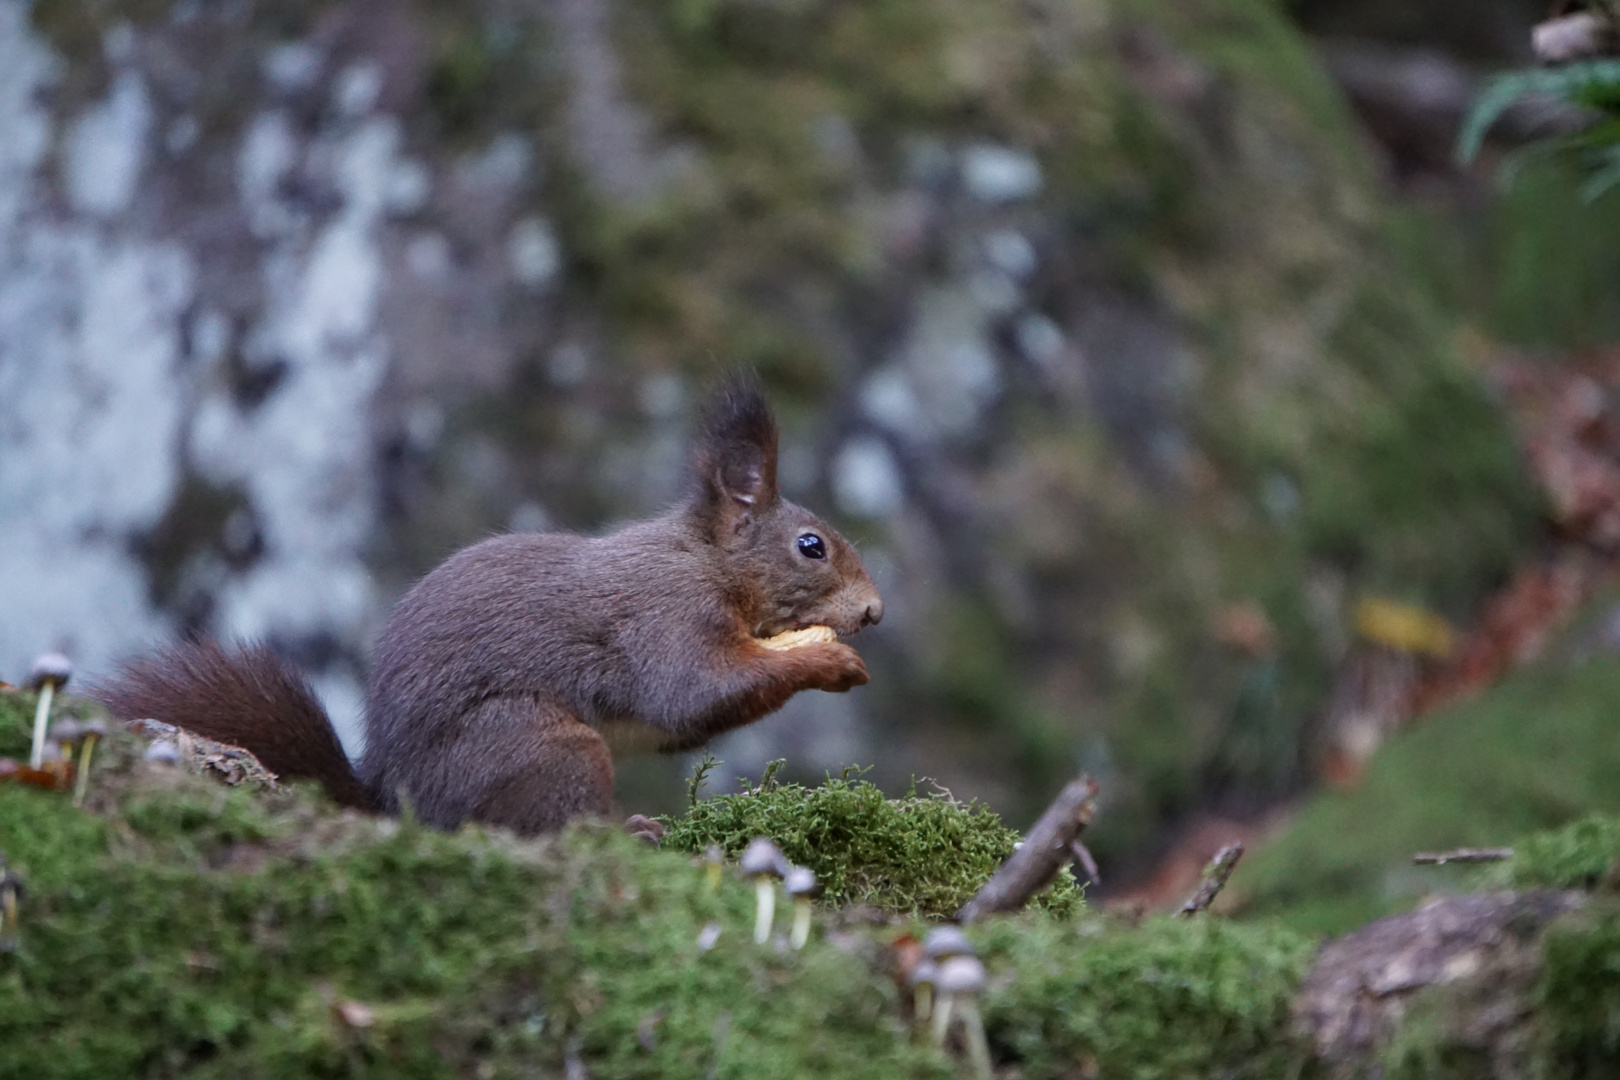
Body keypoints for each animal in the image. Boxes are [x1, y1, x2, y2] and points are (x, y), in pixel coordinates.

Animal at [94, 378, 881, 835]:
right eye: (812, 546)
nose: (874, 613)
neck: (708, 560)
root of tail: (397, 802)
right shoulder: (663, 615)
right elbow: (693, 689)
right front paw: (826, 661)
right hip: (538, 748)